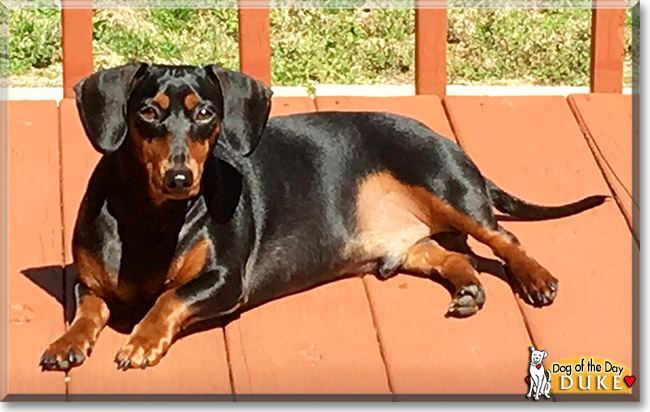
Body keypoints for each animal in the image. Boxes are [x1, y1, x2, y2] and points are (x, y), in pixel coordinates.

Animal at [39, 63, 604, 370]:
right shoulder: (89, 283)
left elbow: (167, 300)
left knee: (502, 237)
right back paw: (467, 288)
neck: (151, 216)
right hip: (408, 246)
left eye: (205, 114)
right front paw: (67, 343)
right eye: (147, 113)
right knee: (448, 255)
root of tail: (451, 145)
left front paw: (140, 342)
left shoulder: (223, 281)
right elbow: (88, 310)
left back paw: (536, 278)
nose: (180, 178)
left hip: (448, 187)